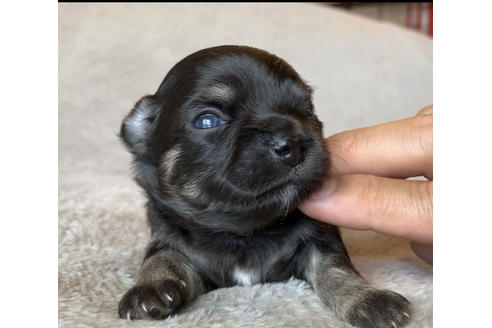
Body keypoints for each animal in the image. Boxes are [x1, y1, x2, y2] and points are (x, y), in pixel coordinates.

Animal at [117, 44, 410, 328]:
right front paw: (147, 288)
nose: (293, 143)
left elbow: (336, 268)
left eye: (307, 110)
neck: (244, 232)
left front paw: (369, 299)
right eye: (207, 120)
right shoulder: (169, 239)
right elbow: (160, 258)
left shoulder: (318, 239)